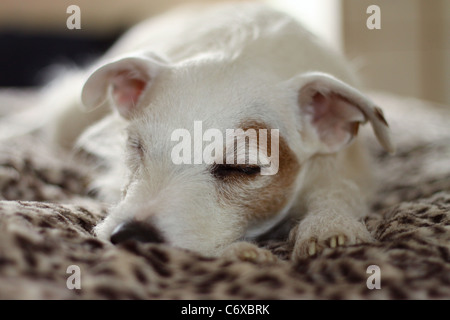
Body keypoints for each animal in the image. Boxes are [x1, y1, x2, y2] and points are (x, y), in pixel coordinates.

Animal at [38, 2, 394, 262]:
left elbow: (338, 189)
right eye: (136, 147)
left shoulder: (346, 167)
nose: (130, 236)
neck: (246, 52)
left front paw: (328, 222)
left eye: (241, 168)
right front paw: (238, 251)